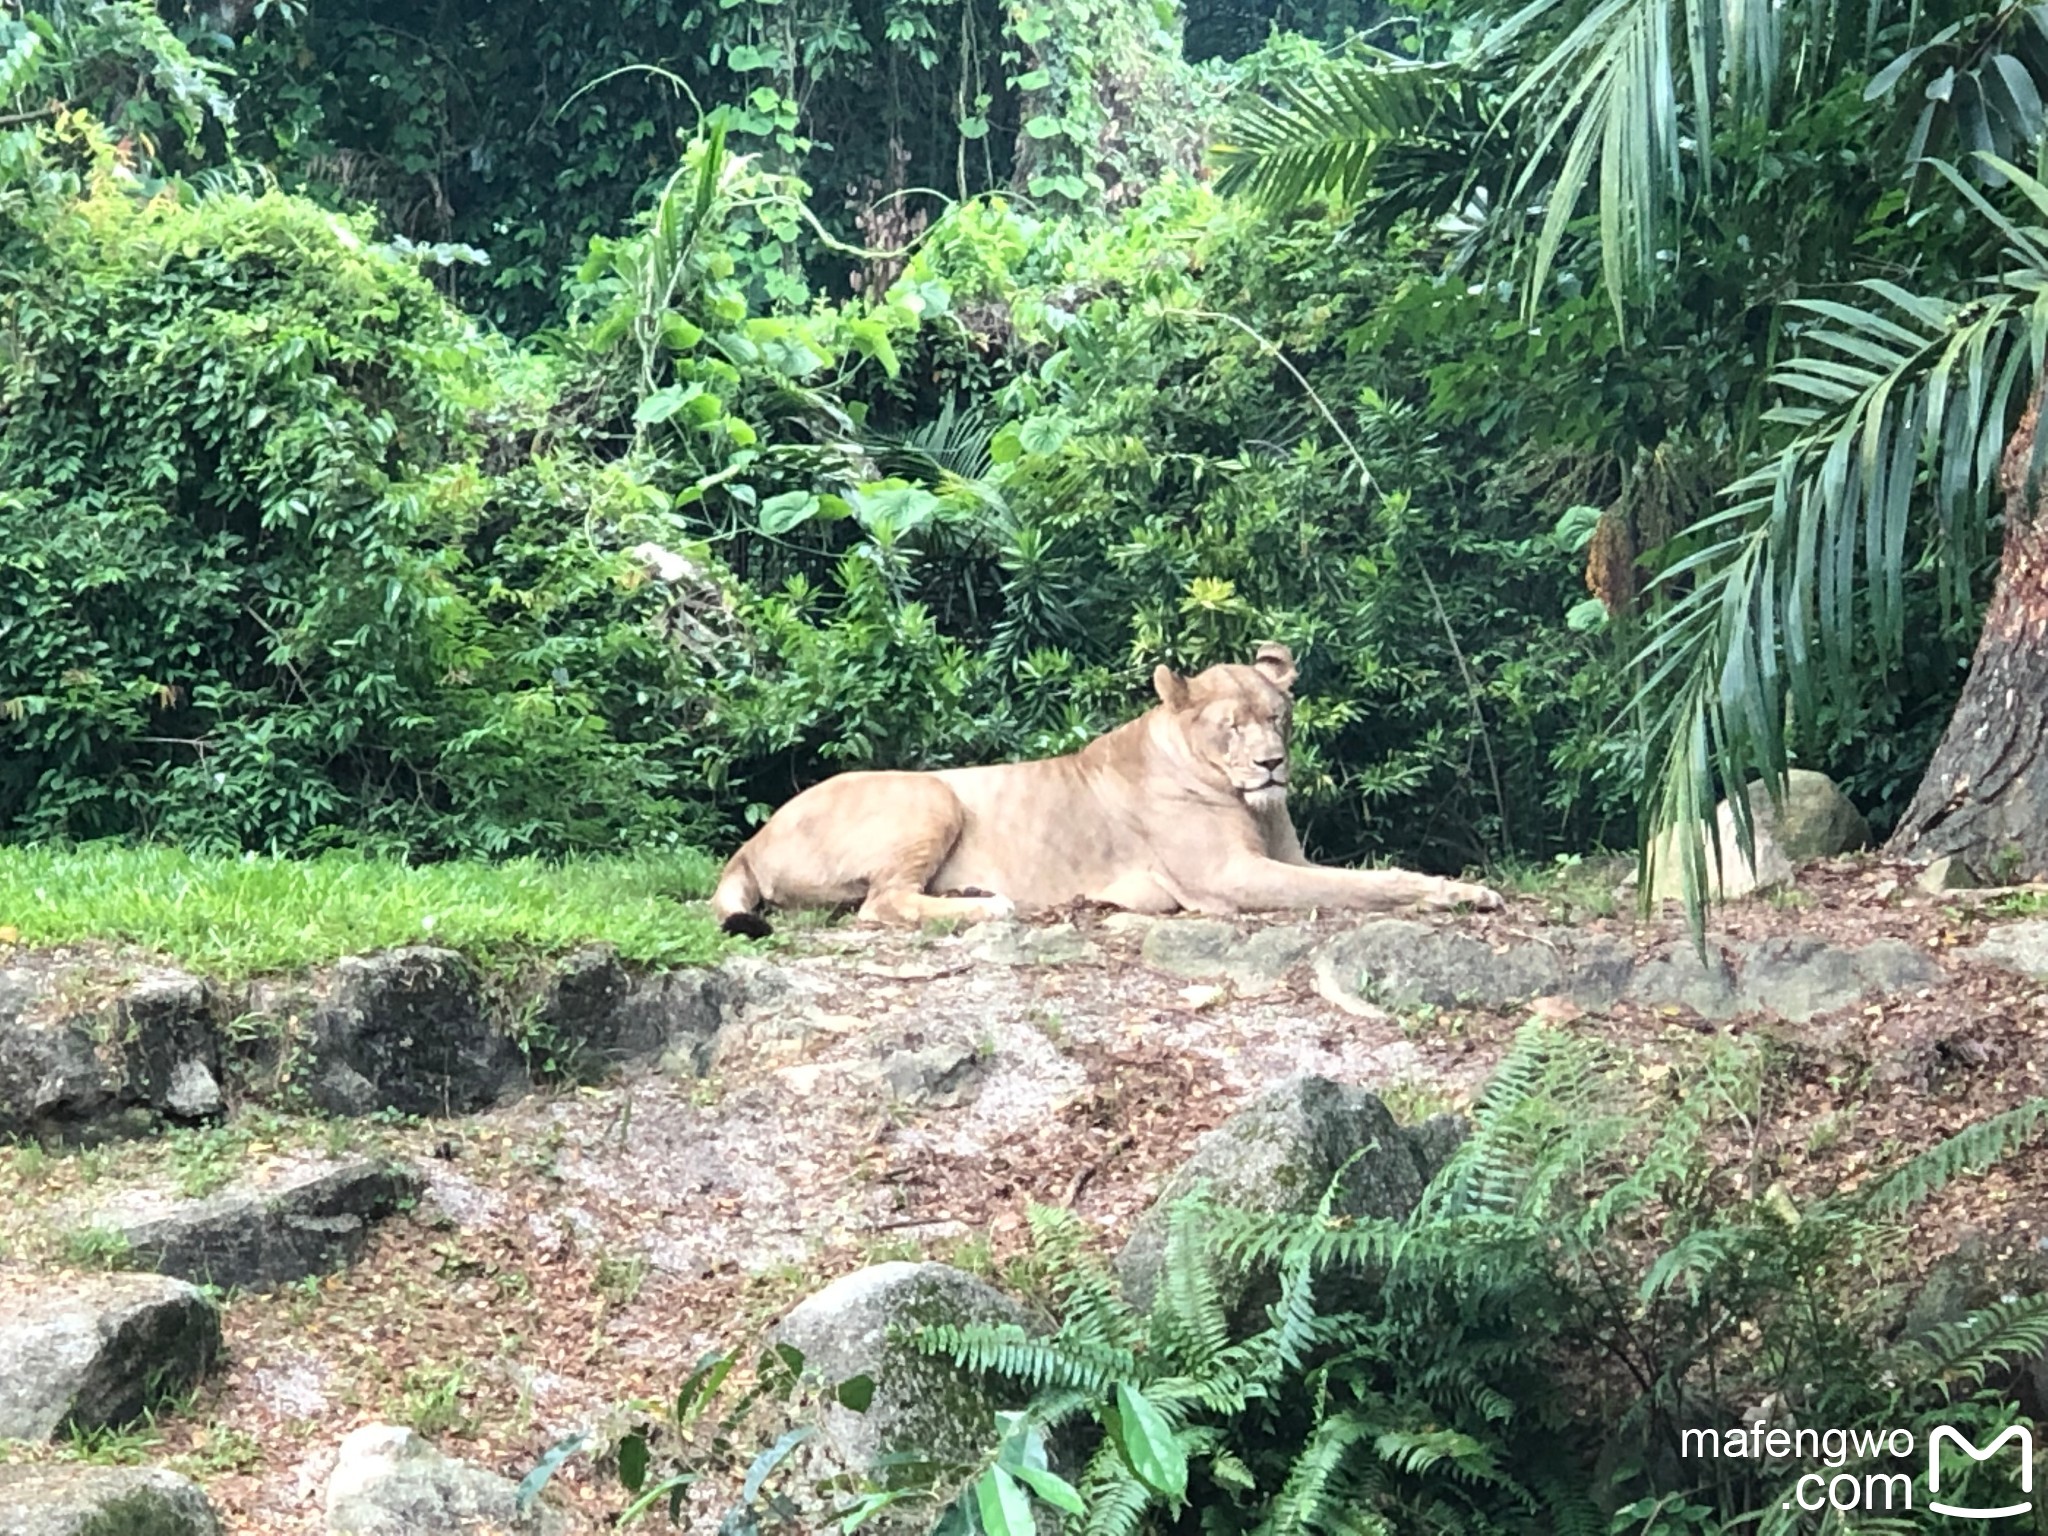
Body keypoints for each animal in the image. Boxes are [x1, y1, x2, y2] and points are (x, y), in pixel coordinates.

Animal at [716, 638, 1507, 933]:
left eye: (1277, 717)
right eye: (1230, 727)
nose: (1272, 766)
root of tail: (751, 842)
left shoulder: (1287, 857)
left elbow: (1357, 874)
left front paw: (1463, 890)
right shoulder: (1227, 877)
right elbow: (1361, 885)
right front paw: (1451, 894)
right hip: (929, 794)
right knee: (879, 905)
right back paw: (991, 905)